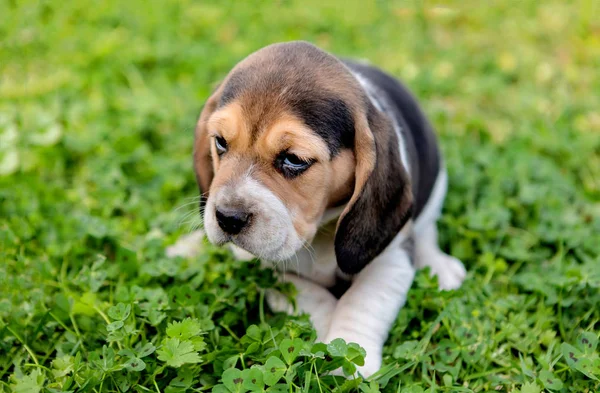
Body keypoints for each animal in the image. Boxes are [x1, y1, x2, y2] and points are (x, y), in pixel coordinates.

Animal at [166, 41, 466, 376]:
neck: (320, 230)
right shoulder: (261, 265)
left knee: (427, 228)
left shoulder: (390, 258)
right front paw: (330, 337)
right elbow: (312, 295)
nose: (228, 218)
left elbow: (363, 301)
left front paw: (351, 355)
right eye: (220, 142)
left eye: (294, 159)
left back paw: (439, 265)